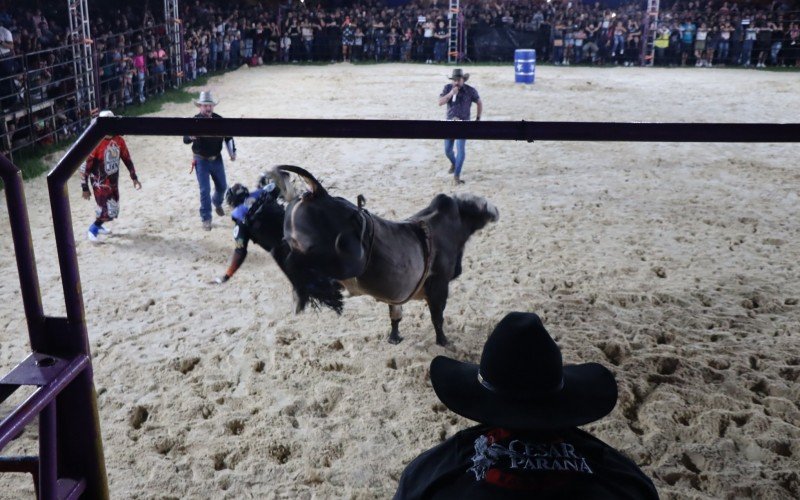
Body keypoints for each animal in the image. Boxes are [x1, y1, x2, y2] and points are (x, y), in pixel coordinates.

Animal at [276, 166, 500, 346]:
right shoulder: (439, 284)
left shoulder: (398, 294)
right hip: (342, 262)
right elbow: (437, 316)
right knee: (294, 262)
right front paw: (444, 341)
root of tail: (319, 193)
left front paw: (394, 338)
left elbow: (396, 315)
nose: (495, 210)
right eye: (478, 204)